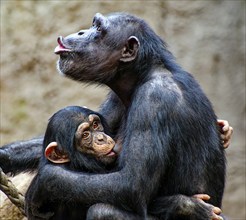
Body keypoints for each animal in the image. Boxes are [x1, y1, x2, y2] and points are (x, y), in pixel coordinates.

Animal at [0, 12, 233, 220]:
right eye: (93, 25)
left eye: (99, 30)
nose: (82, 31)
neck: (141, 75)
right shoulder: (116, 97)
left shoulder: (154, 99)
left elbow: (131, 184)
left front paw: (43, 182)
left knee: (103, 210)